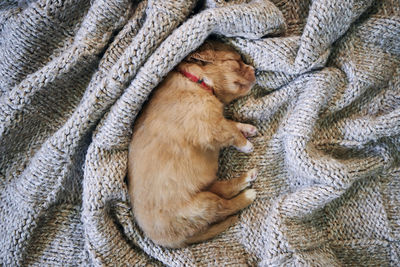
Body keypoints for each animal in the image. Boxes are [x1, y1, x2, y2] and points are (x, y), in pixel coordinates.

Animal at [128, 40, 260, 249]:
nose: (256, 70)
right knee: (225, 206)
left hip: (204, 190)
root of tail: (171, 242)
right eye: (234, 61)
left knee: (224, 190)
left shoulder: (215, 120)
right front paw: (246, 144)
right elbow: (230, 132)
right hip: (201, 205)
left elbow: (231, 124)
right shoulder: (209, 126)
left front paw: (246, 128)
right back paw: (248, 196)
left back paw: (248, 177)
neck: (197, 81)